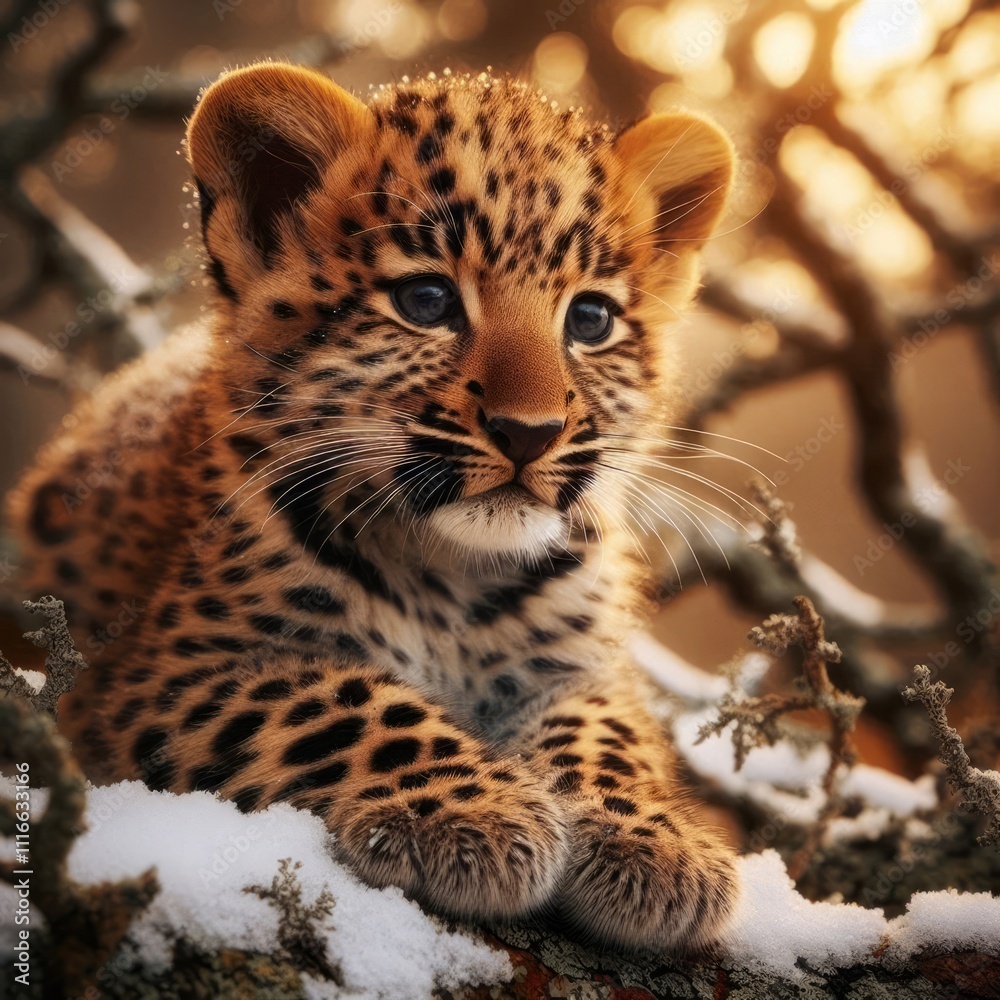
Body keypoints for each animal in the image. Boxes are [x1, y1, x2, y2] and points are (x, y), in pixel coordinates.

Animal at [6, 62, 740, 954]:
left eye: (590, 319)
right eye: (427, 302)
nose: (529, 433)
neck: (454, 575)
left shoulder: (587, 669)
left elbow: (607, 735)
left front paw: (654, 842)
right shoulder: (158, 675)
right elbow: (350, 703)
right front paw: (475, 814)